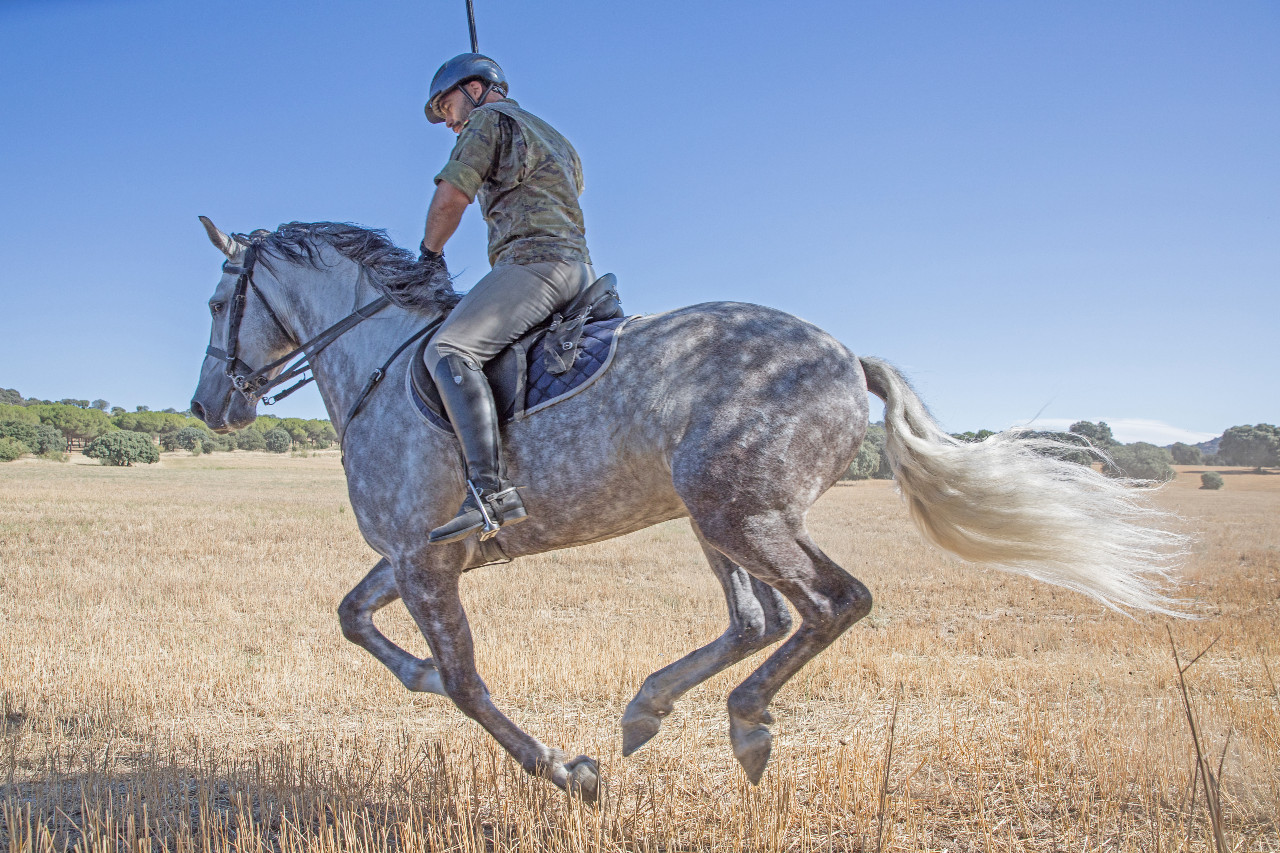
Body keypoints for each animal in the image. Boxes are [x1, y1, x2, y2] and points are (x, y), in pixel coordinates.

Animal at [190, 217, 1185, 802]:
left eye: (215, 300)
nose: (209, 406)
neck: (383, 364)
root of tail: (846, 354)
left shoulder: (427, 563)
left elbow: (469, 684)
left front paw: (565, 769)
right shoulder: (417, 555)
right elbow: (355, 619)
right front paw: (426, 679)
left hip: (739, 512)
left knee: (832, 603)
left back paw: (742, 723)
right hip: (718, 516)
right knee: (761, 619)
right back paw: (651, 707)